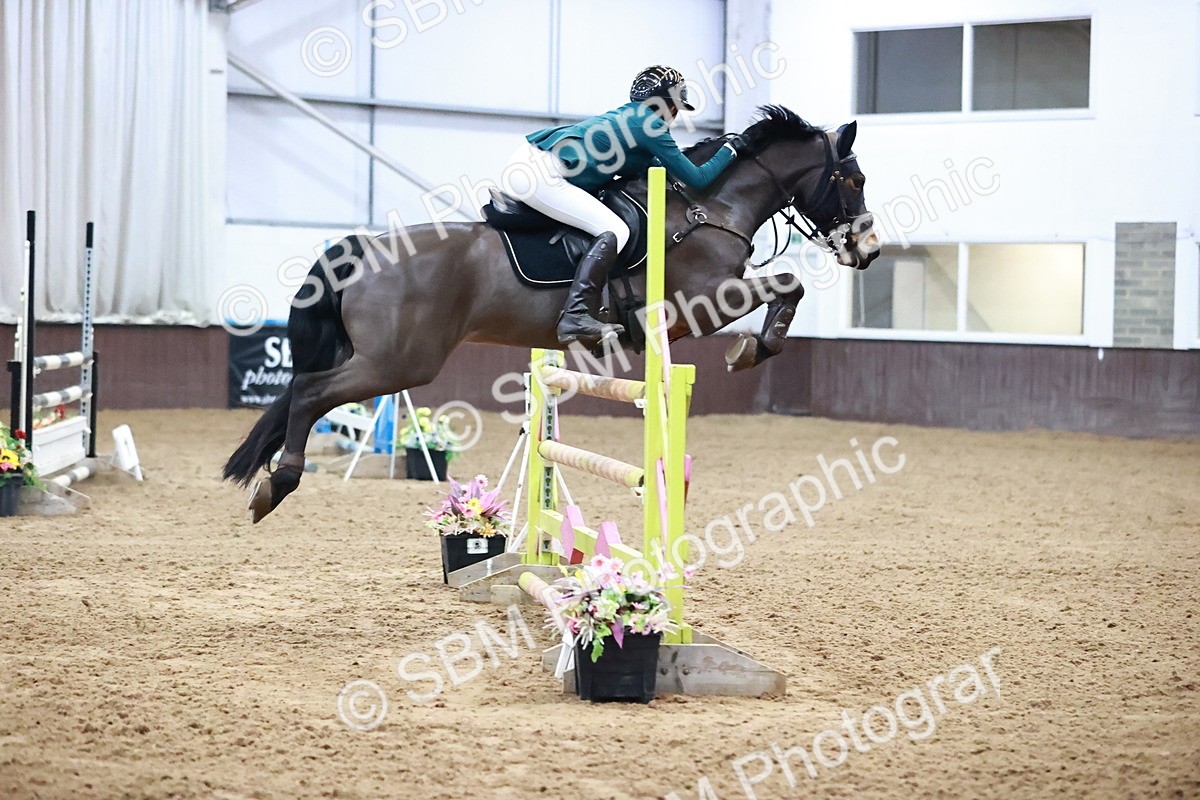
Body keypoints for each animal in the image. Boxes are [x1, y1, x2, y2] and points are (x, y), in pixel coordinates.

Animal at [224, 105, 880, 522]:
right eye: (853, 179)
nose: (868, 251)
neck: (708, 206)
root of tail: (363, 248)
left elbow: (787, 287)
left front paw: (753, 347)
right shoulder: (700, 302)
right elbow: (789, 284)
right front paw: (751, 349)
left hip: (385, 359)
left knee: (303, 390)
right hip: (399, 363)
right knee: (311, 392)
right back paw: (277, 485)